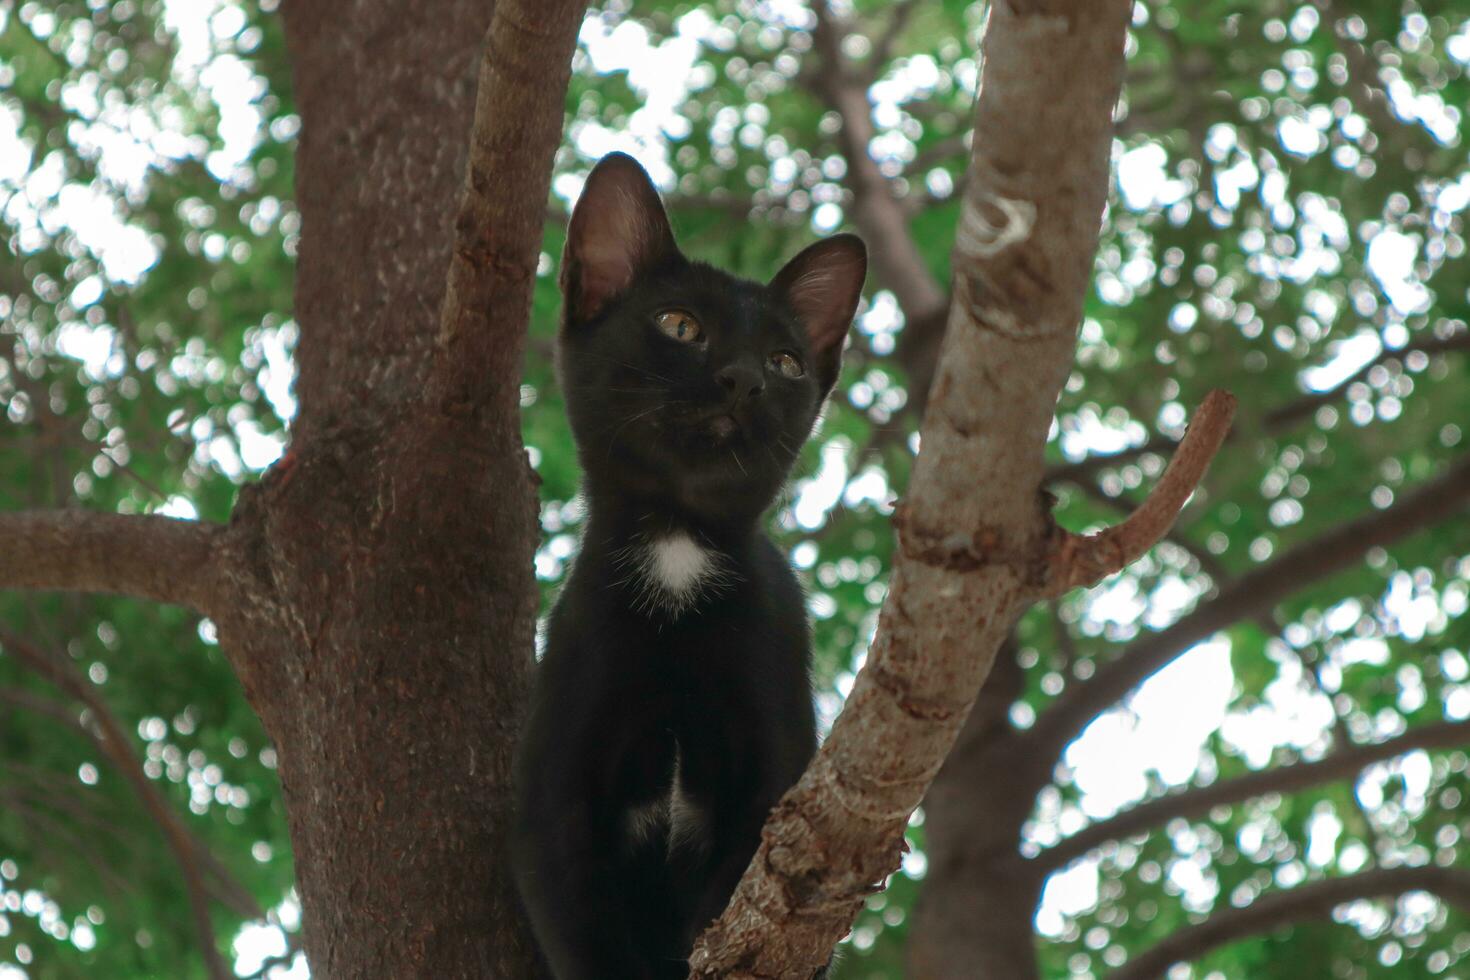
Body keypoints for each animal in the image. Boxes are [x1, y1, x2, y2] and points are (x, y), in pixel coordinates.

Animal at [511, 153, 864, 980]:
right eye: (680, 326)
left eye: (785, 361)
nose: (744, 379)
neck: (676, 547)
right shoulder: (554, 814)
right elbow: (586, 937)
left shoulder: (774, 784)